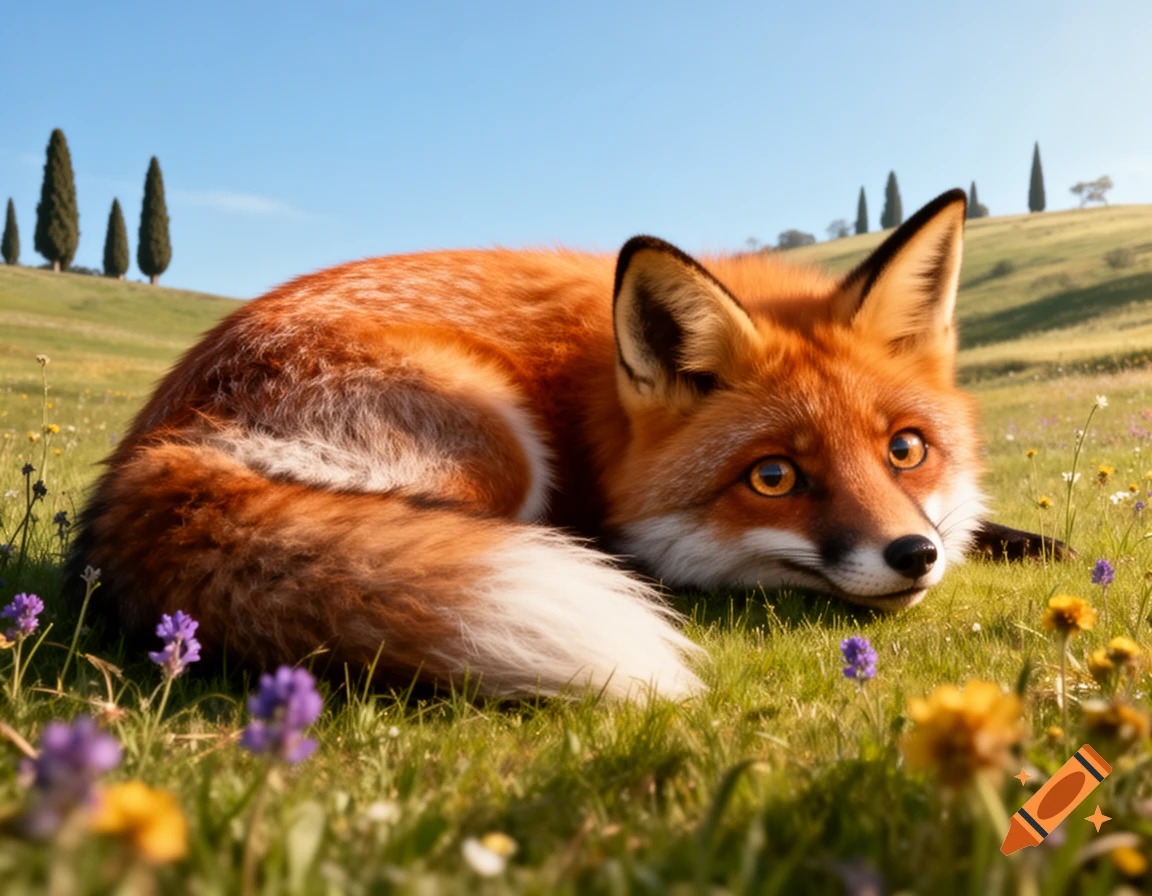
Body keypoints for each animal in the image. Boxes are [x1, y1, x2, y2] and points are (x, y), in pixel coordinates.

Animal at [69, 188, 1056, 701]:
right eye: (773, 476)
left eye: (906, 451)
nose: (912, 555)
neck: (597, 396)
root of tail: (156, 450)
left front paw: (1012, 540)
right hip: (493, 441)